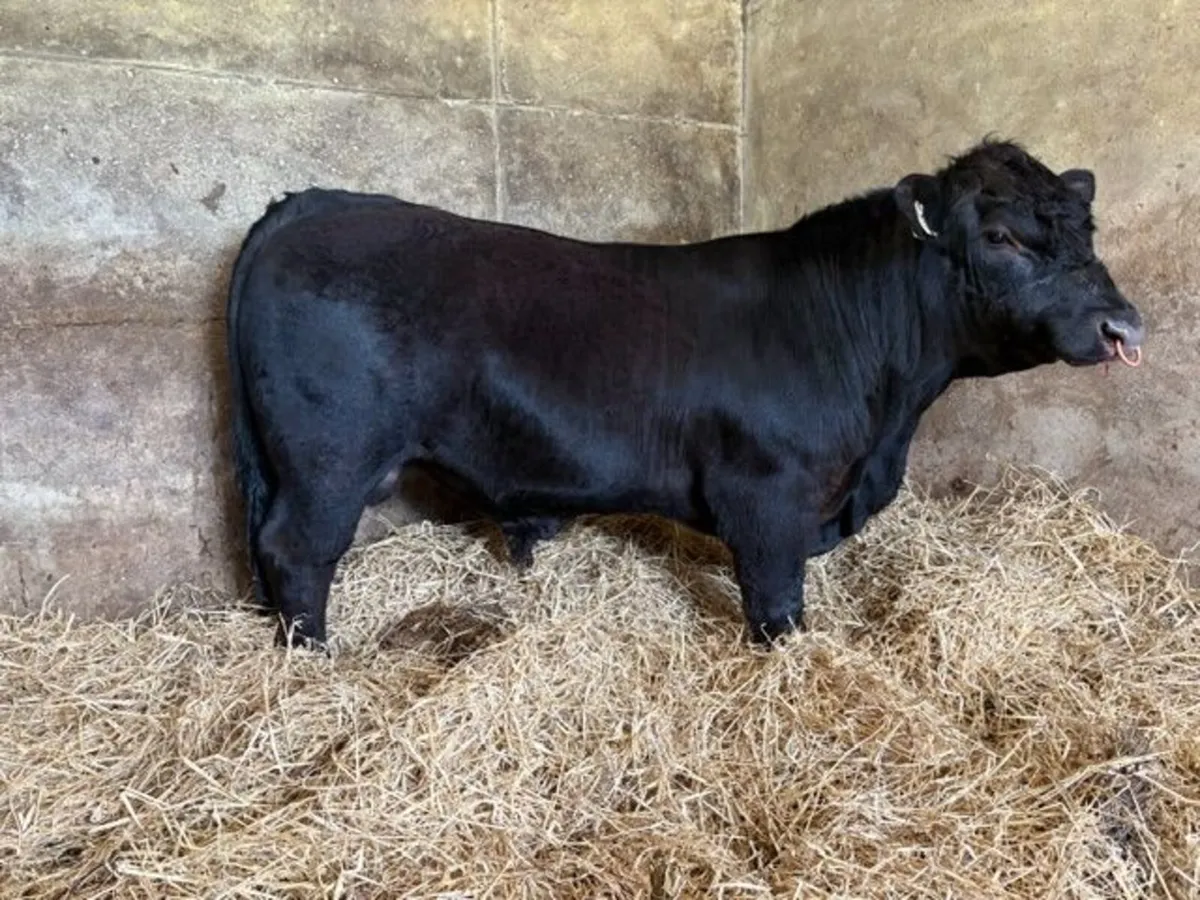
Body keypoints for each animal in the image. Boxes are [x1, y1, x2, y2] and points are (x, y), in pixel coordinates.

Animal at [224, 138, 1144, 651]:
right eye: (1001, 236)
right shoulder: (767, 496)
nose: (1122, 327)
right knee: (296, 551)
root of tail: (314, 203)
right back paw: (315, 660)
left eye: (1088, 231)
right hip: (330, 460)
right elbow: (775, 604)